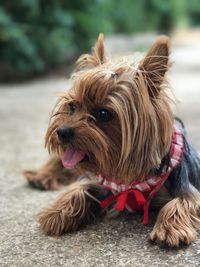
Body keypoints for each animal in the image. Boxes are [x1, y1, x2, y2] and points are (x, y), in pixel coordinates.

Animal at [24, 34, 200, 248]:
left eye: (103, 114)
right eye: (72, 106)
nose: (62, 132)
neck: (133, 178)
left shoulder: (185, 186)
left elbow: (182, 201)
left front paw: (169, 229)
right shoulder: (105, 182)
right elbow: (79, 188)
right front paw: (57, 212)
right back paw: (40, 176)